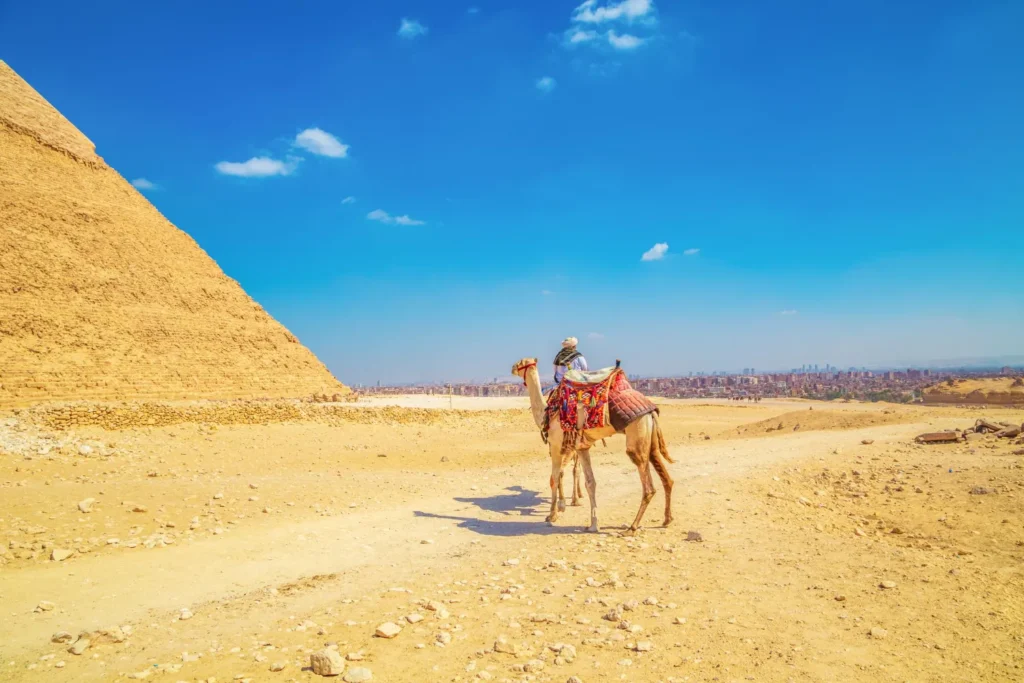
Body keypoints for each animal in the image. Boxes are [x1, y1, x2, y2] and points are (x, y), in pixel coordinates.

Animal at [512, 358, 674, 534]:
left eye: (520, 363)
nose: (513, 368)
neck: (546, 412)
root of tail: (651, 411)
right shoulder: (581, 447)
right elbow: (590, 482)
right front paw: (593, 524)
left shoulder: (556, 446)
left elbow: (554, 478)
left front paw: (552, 515)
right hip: (649, 439)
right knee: (666, 477)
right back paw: (667, 519)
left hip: (637, 436)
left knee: (648, 486)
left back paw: (632, 527)